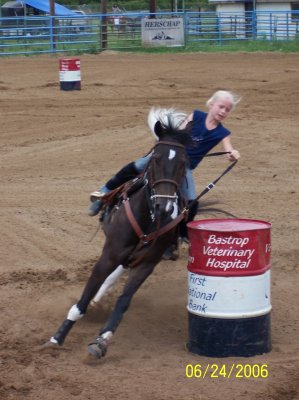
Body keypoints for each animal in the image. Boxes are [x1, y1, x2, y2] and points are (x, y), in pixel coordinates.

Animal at [45, 108, 193, 358]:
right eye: (156, 158)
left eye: (183, 162)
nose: (164, 207)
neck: (150, 218)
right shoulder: (110, 254)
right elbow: (83, 298)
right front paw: (57, 337)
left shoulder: (147, 263)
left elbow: (124, 300)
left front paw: (102, 340)